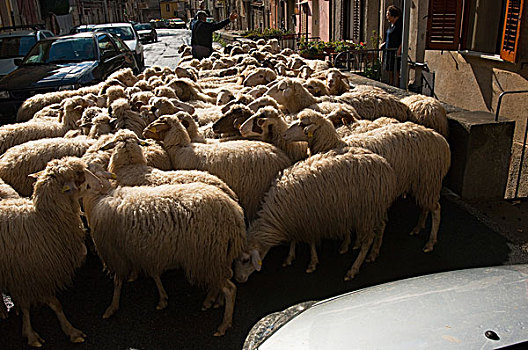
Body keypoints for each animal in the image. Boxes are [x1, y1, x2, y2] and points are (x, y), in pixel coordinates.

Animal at [0, 157, 92, 346]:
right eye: (79, 175)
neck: (45, 220)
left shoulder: (38, 275)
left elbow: (55, 304)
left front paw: (70, 330)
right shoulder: (29, 275)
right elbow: (35, 305)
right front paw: (31, 334)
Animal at [82, 178, 248, 336]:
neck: (99, 199)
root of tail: (234, 212)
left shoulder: (117, 255)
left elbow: (117, 282)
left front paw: (112, 307)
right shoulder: (148, 251)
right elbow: (154, 274)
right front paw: (162, 298)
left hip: (207, 256)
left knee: (230, 289)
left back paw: (223, 324)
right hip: (216, 256)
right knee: (223, 278)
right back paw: (214, 300)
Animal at [233, 145, 398, 282]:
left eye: (245, 260)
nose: (238, 279)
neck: (277, 217)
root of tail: (386, 165)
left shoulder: (309, 220)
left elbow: (311, 242)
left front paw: (312, 263)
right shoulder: (295, 220)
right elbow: (293, 239)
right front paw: (290, 257)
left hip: (367, 211)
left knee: (367, 241)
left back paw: (354, 268)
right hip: (376, 208)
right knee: (382, 226)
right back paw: (374, 252)